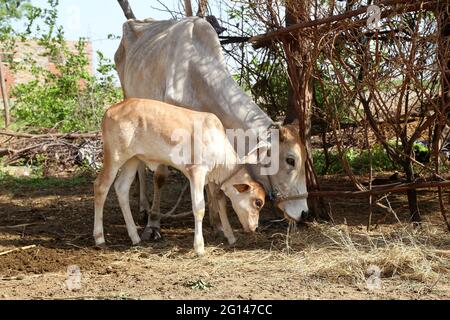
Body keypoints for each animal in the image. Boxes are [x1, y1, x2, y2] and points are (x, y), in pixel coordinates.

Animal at [93, 97, 266, 255]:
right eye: (258, 202)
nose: (255, 227)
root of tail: (111, 110)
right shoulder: (196, 172)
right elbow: (199, 208)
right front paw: (199, 247)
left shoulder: (211, 178)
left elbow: (220, 203)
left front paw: (230, 237)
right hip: (114, 157)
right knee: (100, 187)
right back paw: (100, 239)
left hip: (132, 159)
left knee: (121, 188)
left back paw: (135, 237)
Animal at [114, 16, 308, 241]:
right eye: (290, 160)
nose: (304, 212)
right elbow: (160, 177)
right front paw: (153, 225)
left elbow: (212, 183)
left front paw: (218, 224)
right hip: (131, 102)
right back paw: (144, 208)